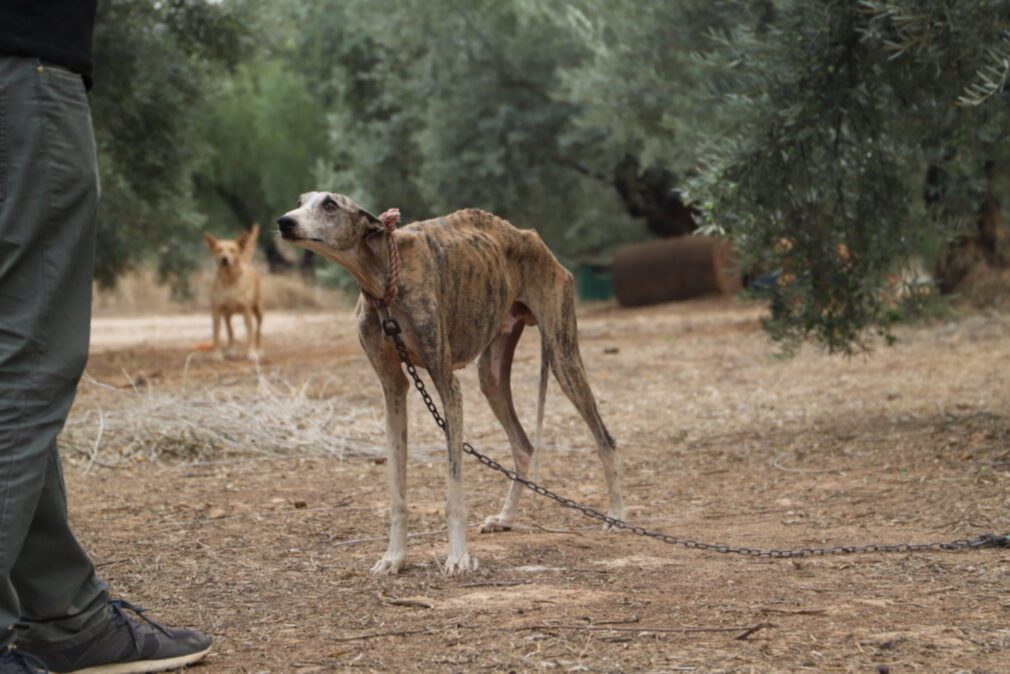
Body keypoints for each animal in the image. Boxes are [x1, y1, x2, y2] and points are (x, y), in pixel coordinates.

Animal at [200, 225, 262, 363]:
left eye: (232, 250)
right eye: (219, 250)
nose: (224, 259)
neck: (230, 281)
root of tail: (246, 262)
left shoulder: (246, 311)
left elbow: (250, 333)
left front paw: (251, 353)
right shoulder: (216, 311)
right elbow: (216, 334)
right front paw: (217, 354)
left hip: (257, 308)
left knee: (258, 328)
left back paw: (258, 348)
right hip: (227, 315)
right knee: (230, 331)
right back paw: (230, 350)